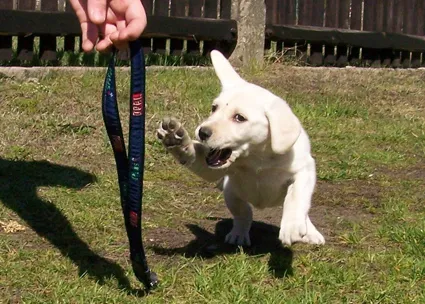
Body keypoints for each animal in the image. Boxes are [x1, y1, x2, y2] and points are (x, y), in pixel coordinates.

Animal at [157, 50, 324, 247]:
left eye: (239, 118)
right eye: (214, 108)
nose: (202, 132)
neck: (257, 157)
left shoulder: (304, 170)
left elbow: (296, 197)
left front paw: (291, 227)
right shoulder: (222, 179)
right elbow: (243, 211)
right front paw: (180, 143)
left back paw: (310, 232)